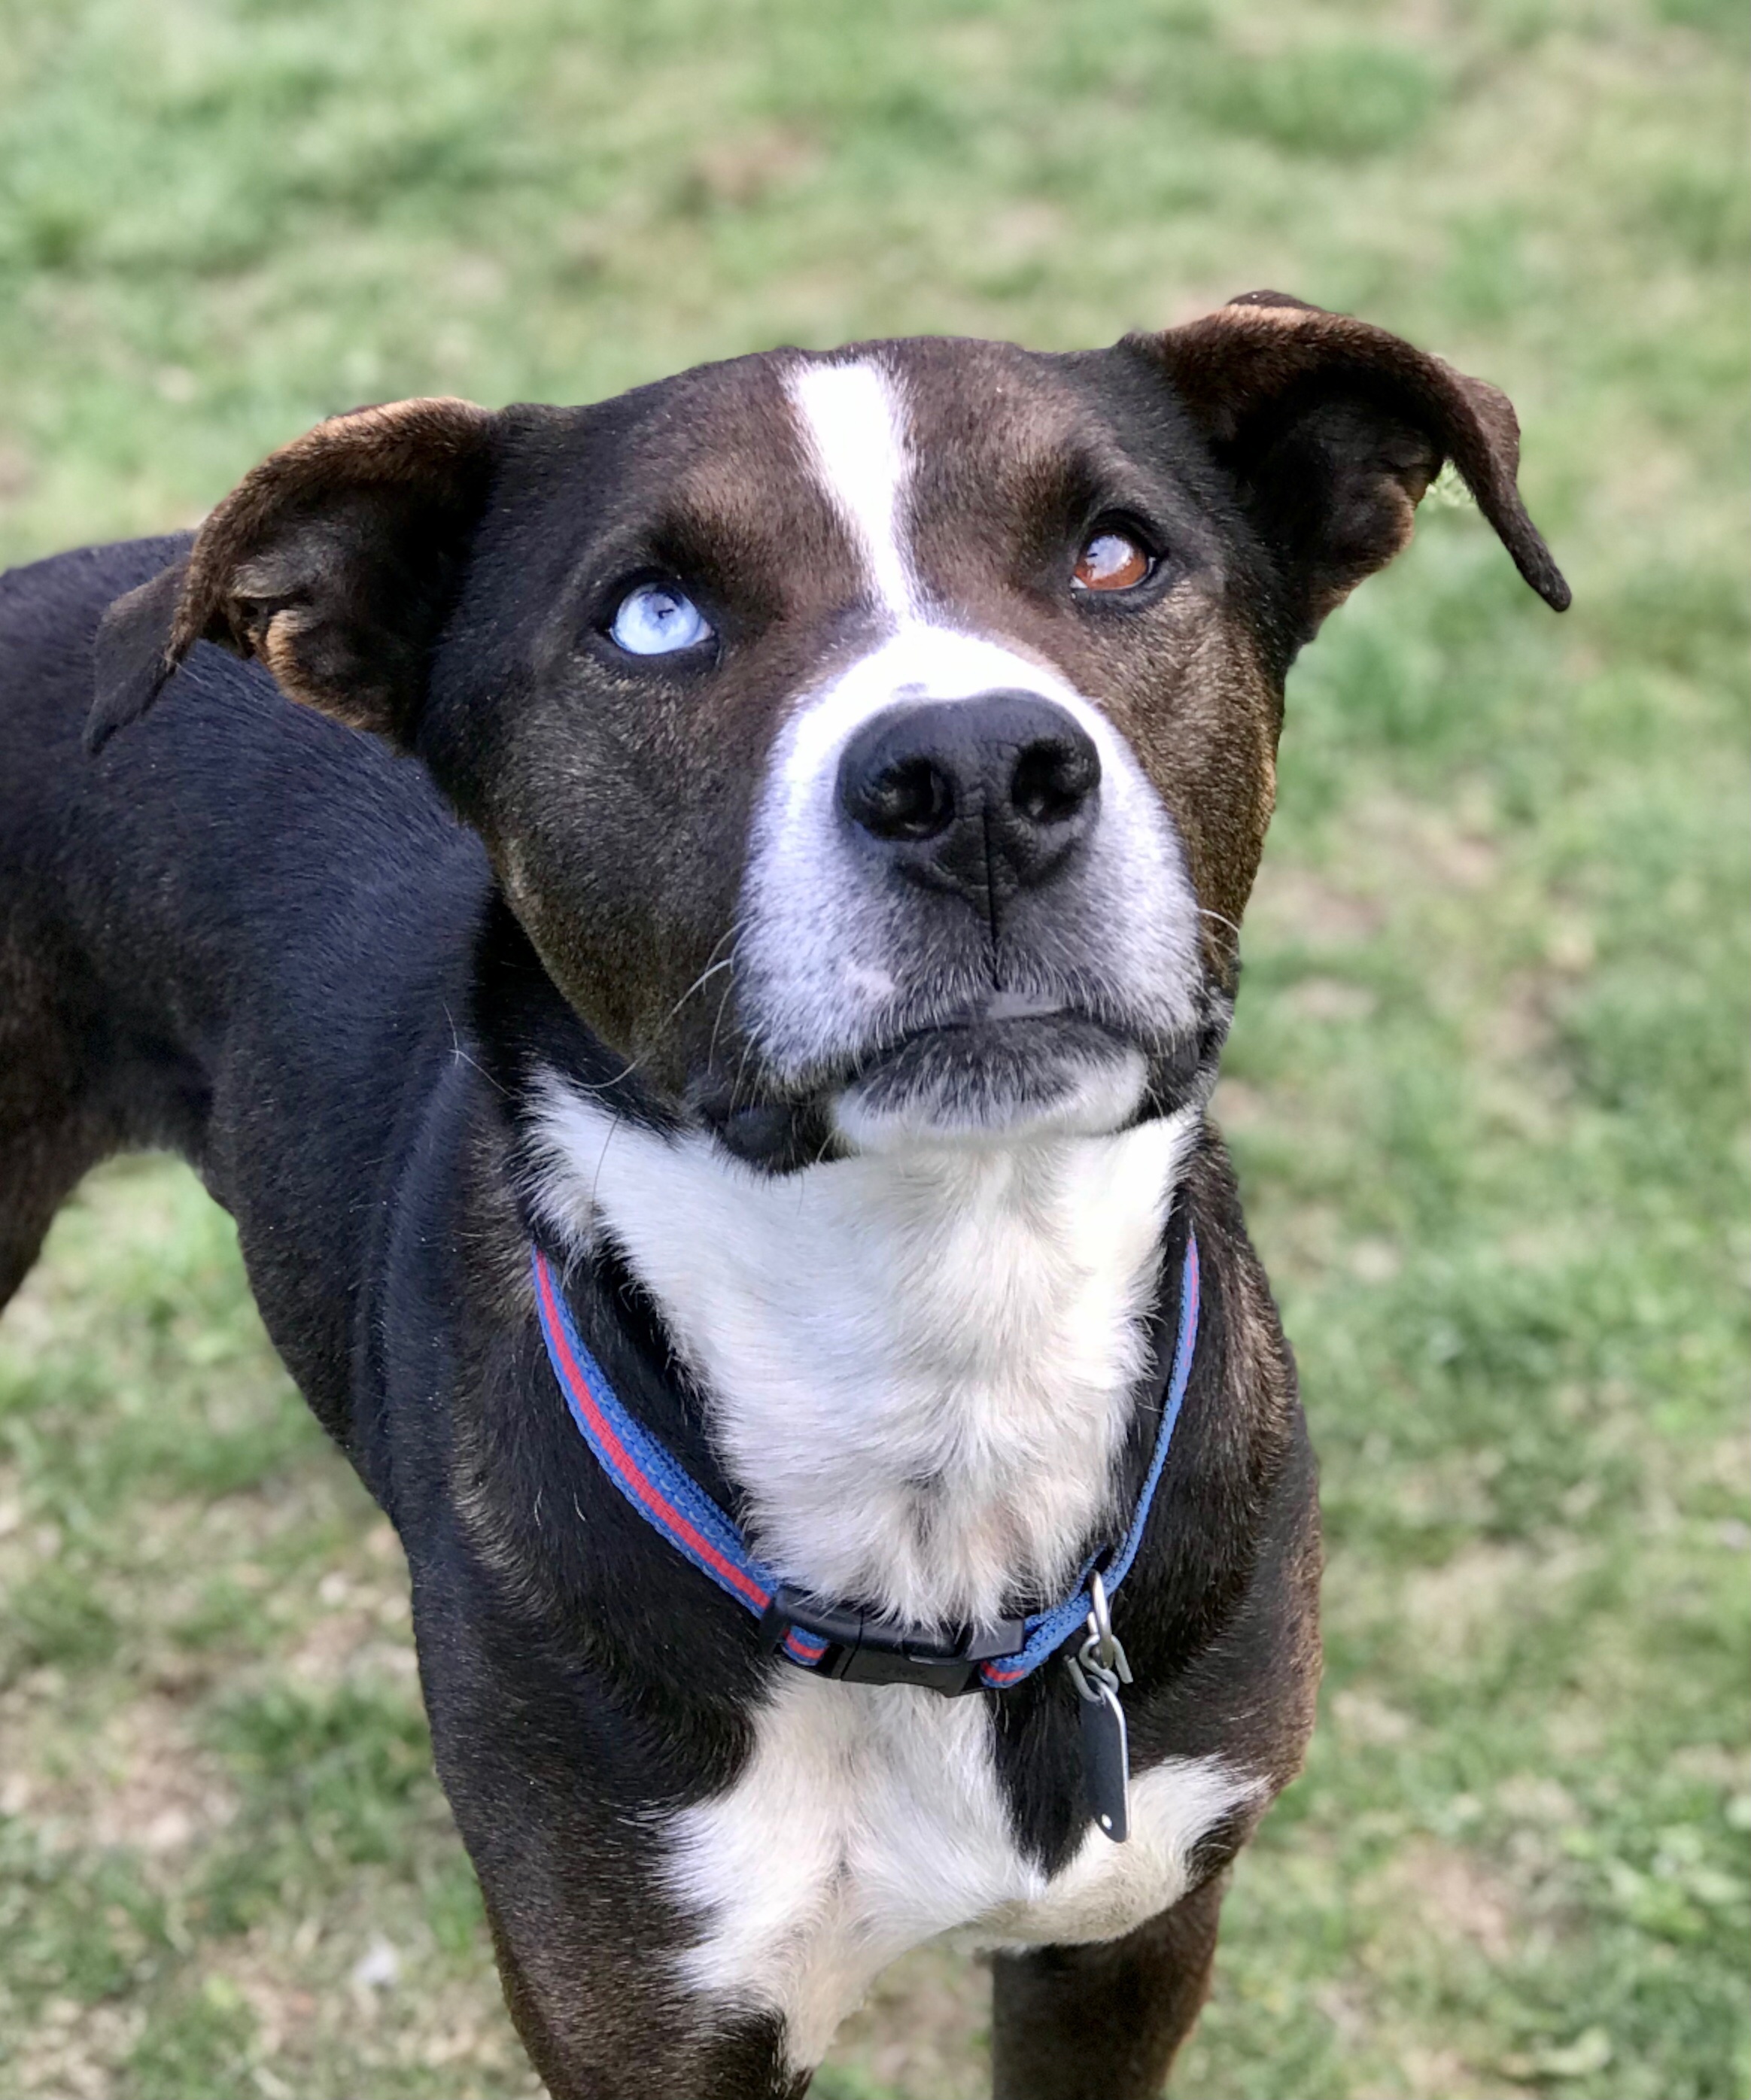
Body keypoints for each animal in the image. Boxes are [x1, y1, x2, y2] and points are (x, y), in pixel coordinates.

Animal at [0, 296, 1553, 2100]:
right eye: (653, 617)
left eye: (1113, 555)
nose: (975, 776)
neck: (940, 1350)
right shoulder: (646, 2012)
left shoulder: (1131, 1929)